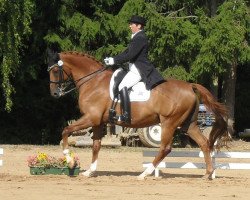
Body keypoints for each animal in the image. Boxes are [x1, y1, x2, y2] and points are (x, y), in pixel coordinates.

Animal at [47, 51, 229, 180]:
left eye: (55, 70)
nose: (54, 93)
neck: (93, 81)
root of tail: (190, 86)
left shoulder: (91, 118)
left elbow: (66, 130)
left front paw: (70, 161)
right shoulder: (98, 121)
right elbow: (96, 146)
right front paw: (90, 171)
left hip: (169, 123)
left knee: (165, 148)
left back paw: (145, 173)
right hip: (188, 124)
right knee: (204, 143)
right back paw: (207, 173)